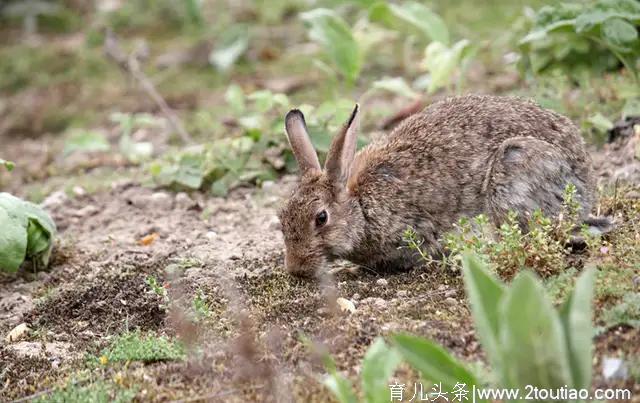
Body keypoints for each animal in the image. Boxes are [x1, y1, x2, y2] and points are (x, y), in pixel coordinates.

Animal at [278, 94, 600, 278]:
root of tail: (585, 183)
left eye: (321, 218)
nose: (297, 270)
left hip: (515, 167)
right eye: (281, 219)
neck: (361, 205)